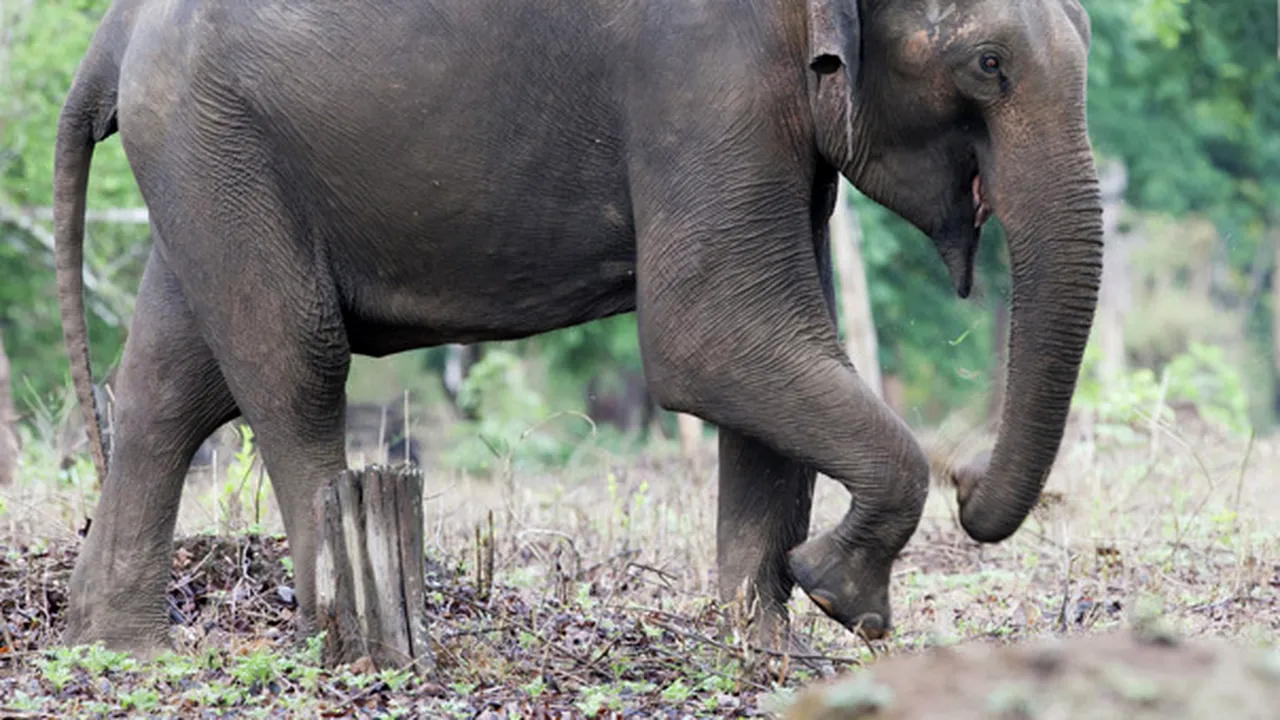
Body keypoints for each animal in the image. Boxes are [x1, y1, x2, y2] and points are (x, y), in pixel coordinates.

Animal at [53, 0, 1103, 659]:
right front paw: (845, 602)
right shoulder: (705, 80)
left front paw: (767, 650)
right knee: (295, 359)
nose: (969, 480)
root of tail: (111, 32)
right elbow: (714, 330)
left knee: (170, 385)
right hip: (215, 139)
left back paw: (122, 646)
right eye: (988, 64)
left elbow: (784, 339)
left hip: (204, 154)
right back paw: (339, 635)